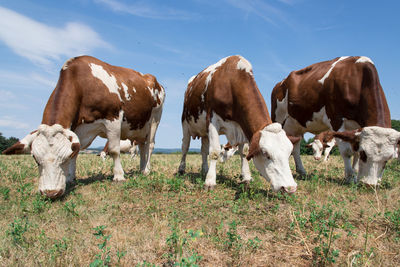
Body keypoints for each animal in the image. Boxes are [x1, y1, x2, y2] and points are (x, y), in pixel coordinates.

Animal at [2, 56, 165, 199]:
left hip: (154, 120)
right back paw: (142, 169)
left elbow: (114, 150)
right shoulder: (77, 129)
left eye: (63, 159)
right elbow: (77, 150)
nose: (51, 193)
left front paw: (119, 176)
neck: (81, 84)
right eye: (35, 159)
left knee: (150, 145)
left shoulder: (113, 118)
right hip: (140, 127)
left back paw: (147, 170)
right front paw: (70, 178)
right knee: (143, 146)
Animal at [178, 55, 296, 193]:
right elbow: (214, 152)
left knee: (203, 150)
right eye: (266, 154)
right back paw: (181, 169)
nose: (290, 188)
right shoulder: (212, 121)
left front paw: (246, 177)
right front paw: (210, 182)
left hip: (204, 130)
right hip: (185, 124)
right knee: (185, 147)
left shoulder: (242, 126)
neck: (230, 83)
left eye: (289, 153)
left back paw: (205, 170)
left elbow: (244, 152)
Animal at [270, 56, 398, 186]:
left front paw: (356, 175)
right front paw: (350, 177)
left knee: (295, 147)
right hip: (279, 120)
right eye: (364, 154)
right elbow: (346, 151)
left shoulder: (356, 130)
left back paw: (302, 171)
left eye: (387, 159)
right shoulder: (336, 120)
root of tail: (280, 83)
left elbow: (354, 152)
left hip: (296, 125)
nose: (369, 184)